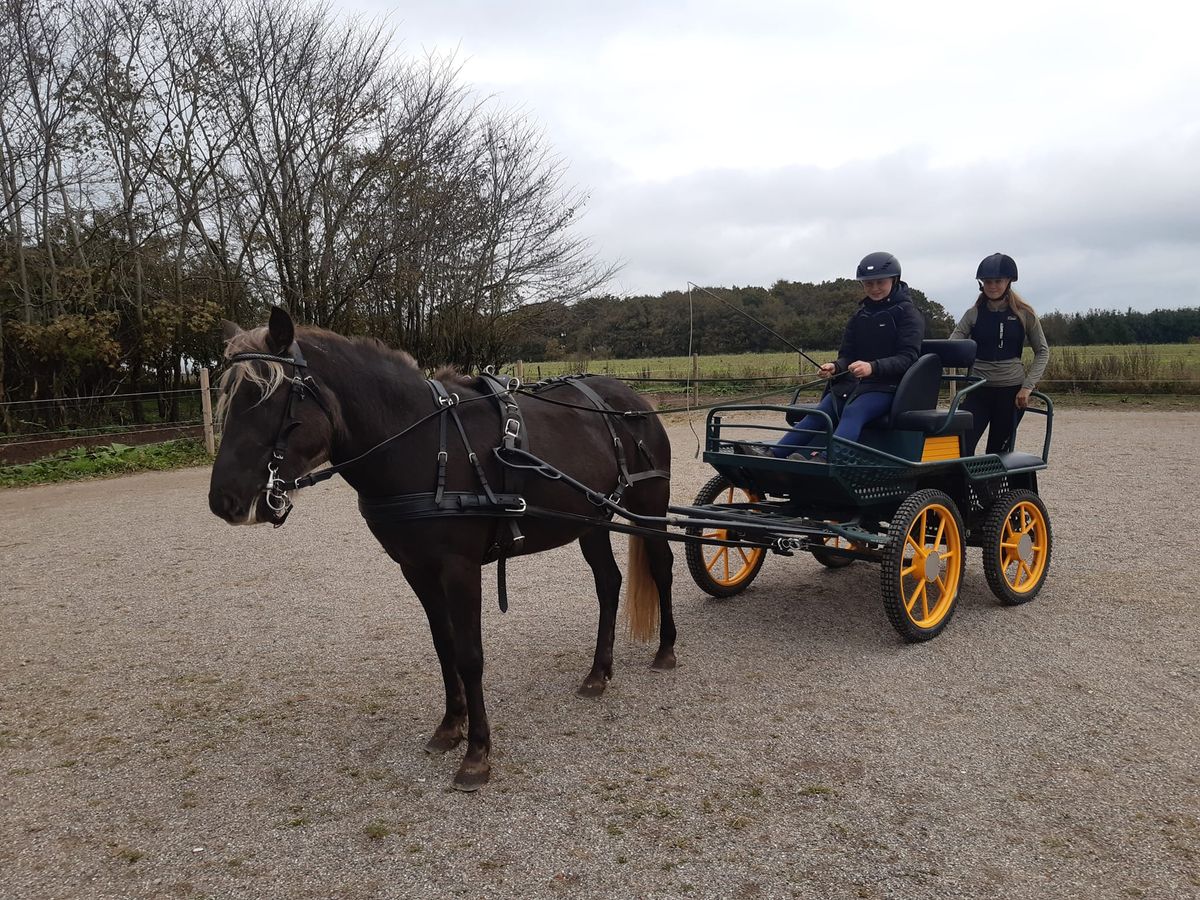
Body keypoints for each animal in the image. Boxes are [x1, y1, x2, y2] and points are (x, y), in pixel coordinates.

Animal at [207, 309, 676, 787]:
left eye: (270, 394)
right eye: (229, 395)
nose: (223, 500)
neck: (424, 443)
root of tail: (631, 398)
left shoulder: (459, 568)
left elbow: (470, 655)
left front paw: (477, 754)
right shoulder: (416, 569)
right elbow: (444, 646)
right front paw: (451, 726)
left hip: (649, 506)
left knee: (662, 567)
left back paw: (666, 650)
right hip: (592, 520)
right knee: (608, 583)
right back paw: (598, 673)